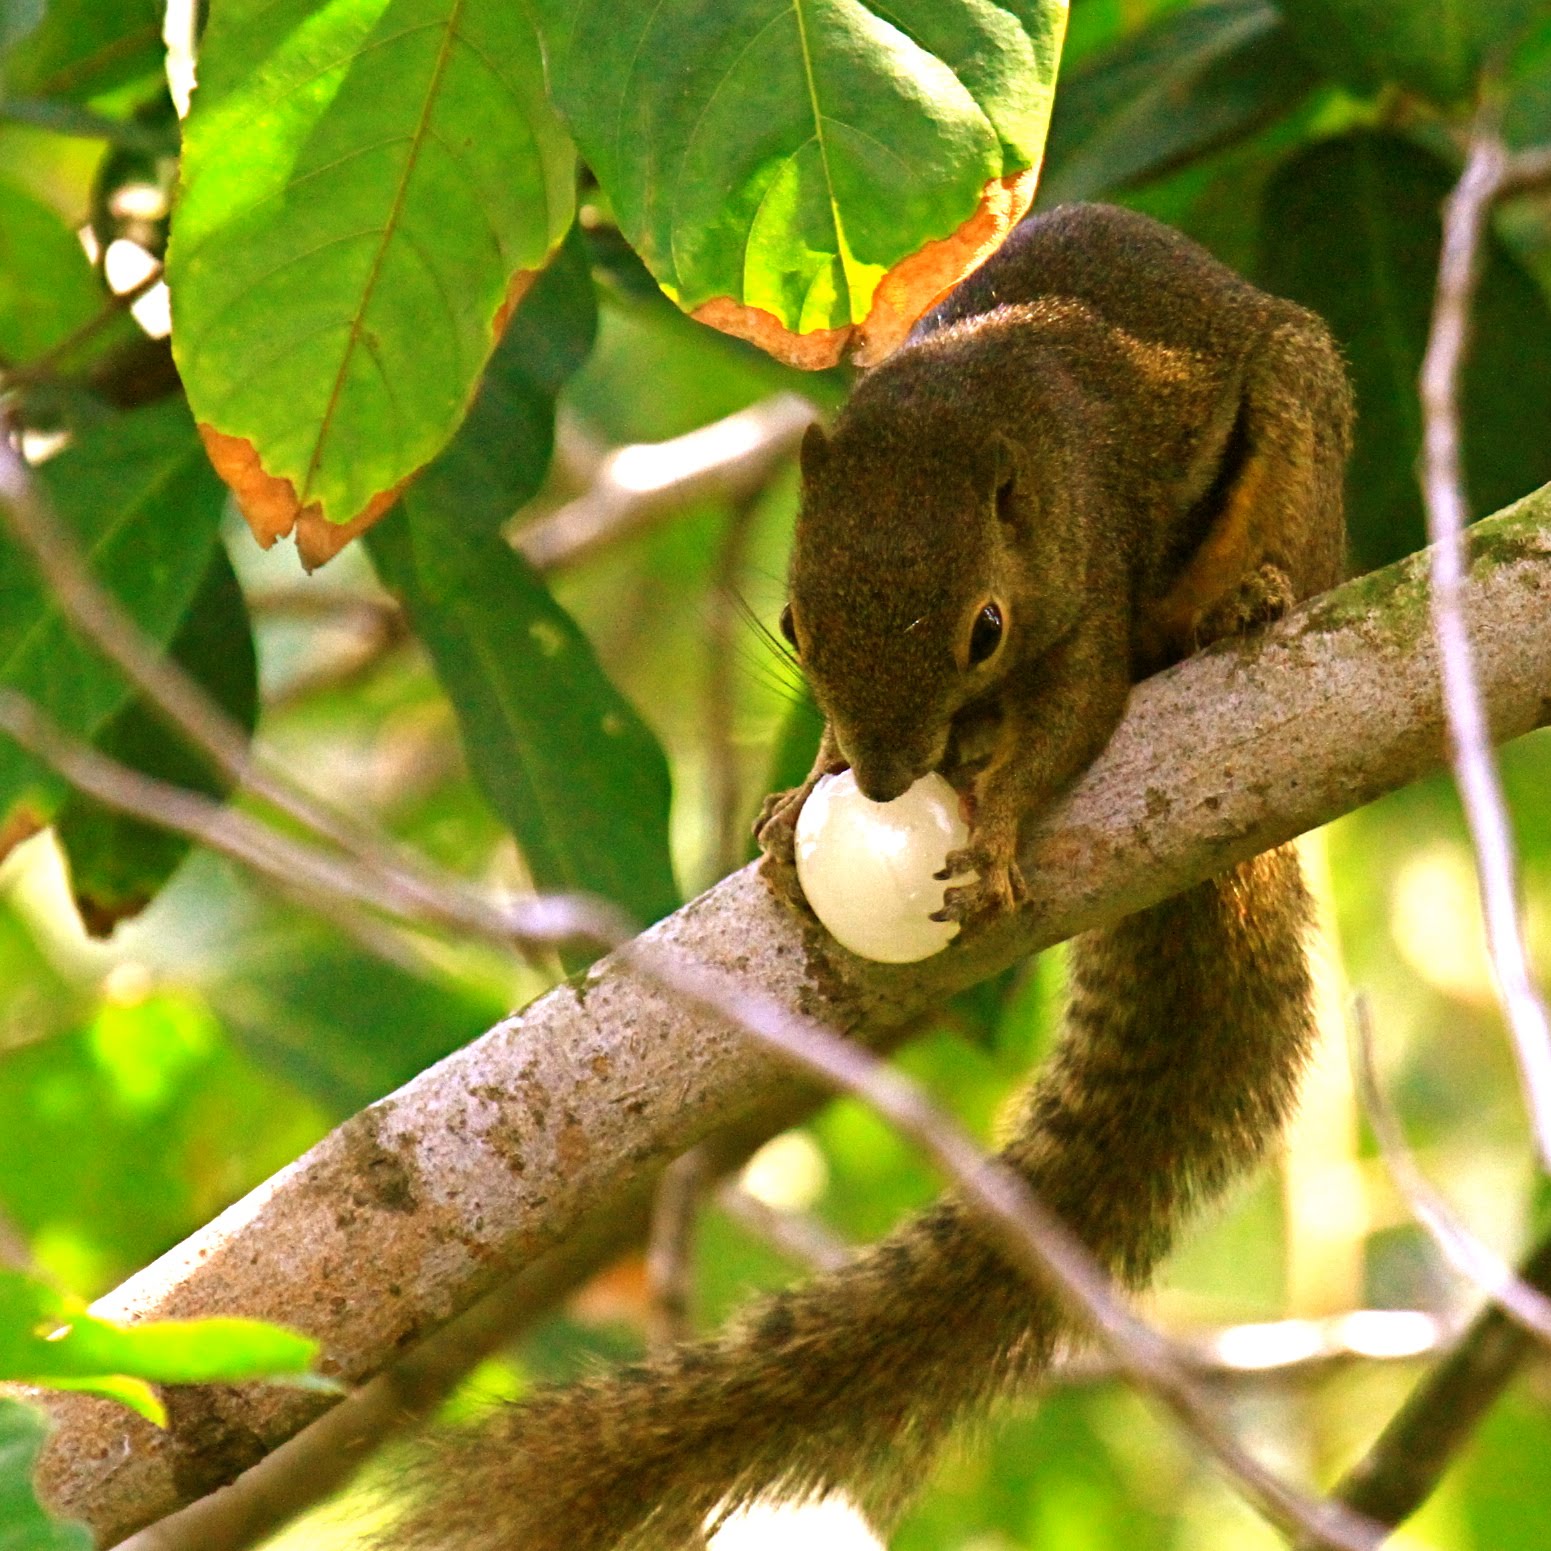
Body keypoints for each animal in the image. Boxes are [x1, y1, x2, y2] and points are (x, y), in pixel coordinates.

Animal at [390, 202, 1353, 1550]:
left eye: (984, 629)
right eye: (795, 625)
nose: (889, 782)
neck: (973, 403)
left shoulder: (1089, 574)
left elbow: (1073, 714)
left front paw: (991, 836)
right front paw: (801, 802)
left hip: (1303, 431)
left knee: (1275, 563)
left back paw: (1243, 604)